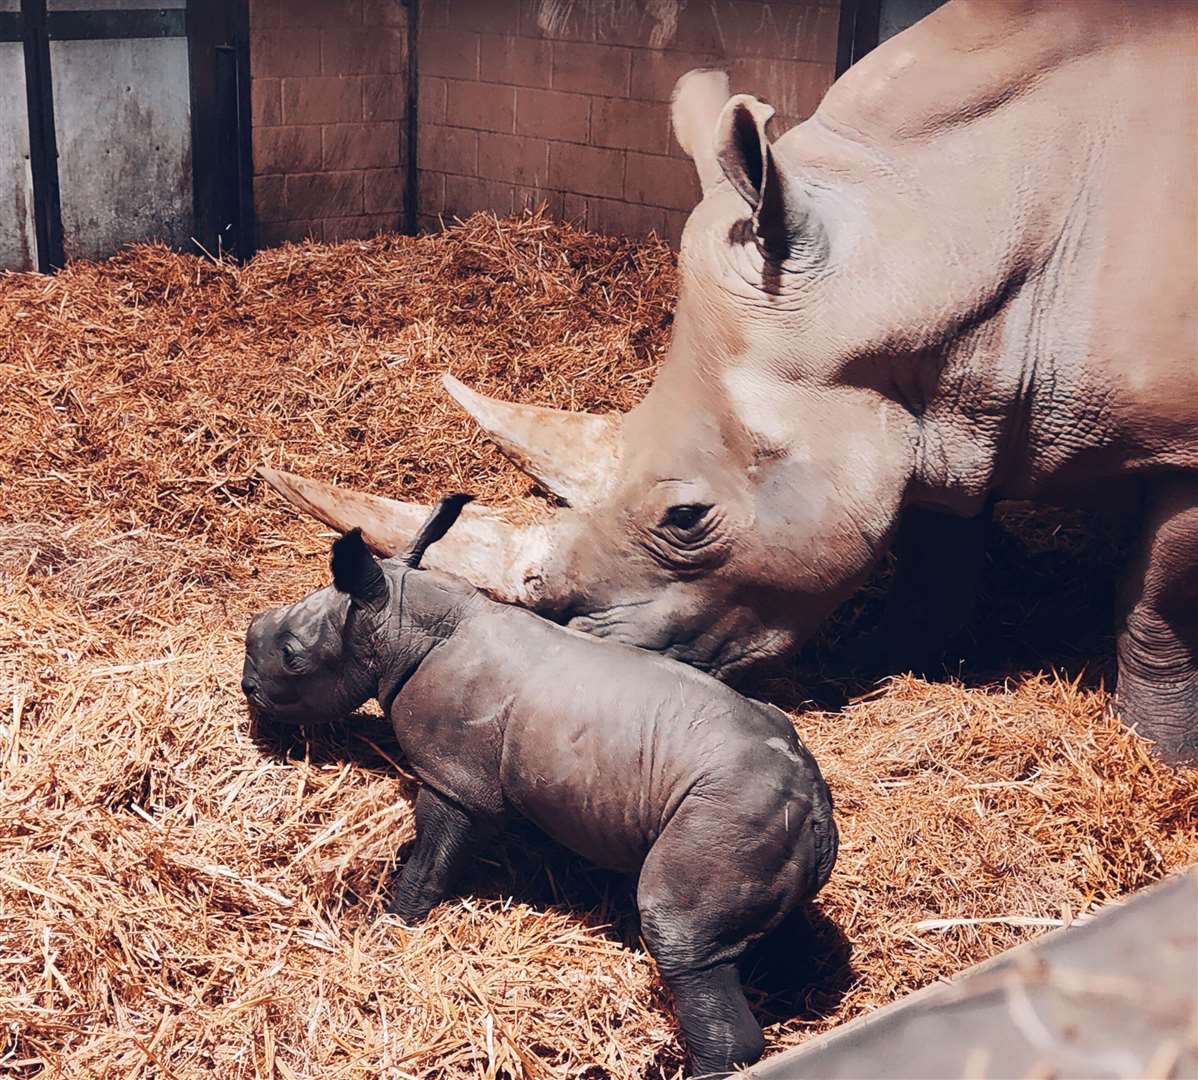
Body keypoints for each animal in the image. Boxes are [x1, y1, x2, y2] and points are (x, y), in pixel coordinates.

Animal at [243, 495, 838, 1072]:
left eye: (291, 657)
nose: (247, 687)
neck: (399, 621)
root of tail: (813, 801)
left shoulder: (453, 779)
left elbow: (431, 859)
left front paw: (390, 924)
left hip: (725, 815)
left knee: (680, 937)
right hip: (761, 820)